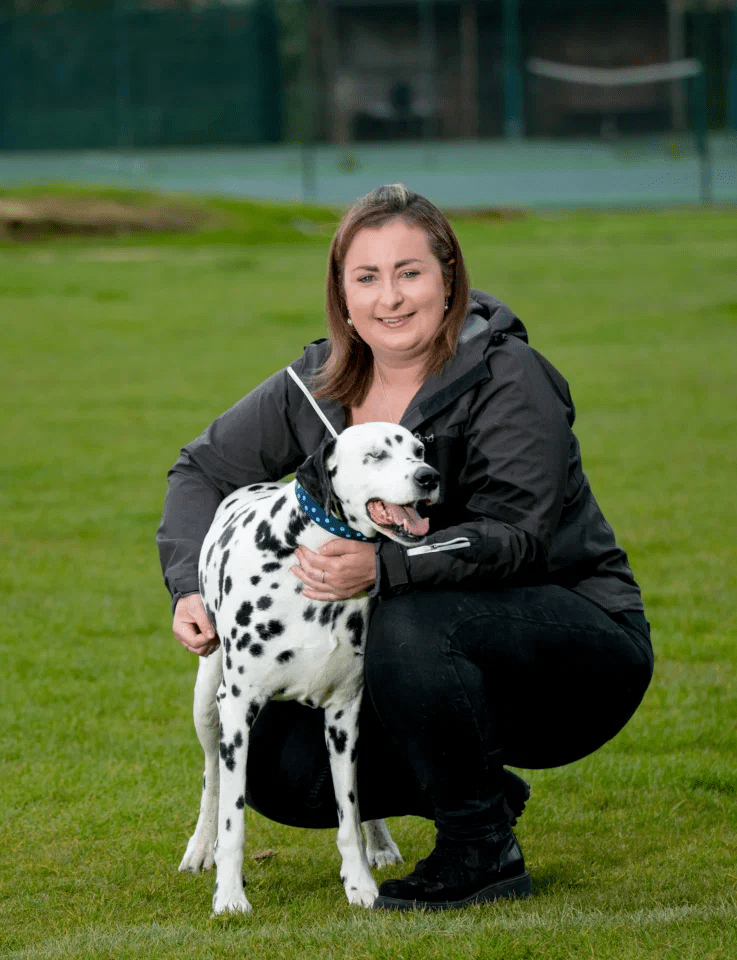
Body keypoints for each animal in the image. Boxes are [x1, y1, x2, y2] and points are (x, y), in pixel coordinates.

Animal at [178, 422, 442, 916]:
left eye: (419, 450)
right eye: (375, 455)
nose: (429, 477)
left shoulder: (343, 714)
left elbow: (349, 811)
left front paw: (359, 882)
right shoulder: (236, 711)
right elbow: (232, 820)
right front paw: (229, 894)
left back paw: (379, 844)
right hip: (207, 703)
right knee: (211, 778)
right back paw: (200, 848)